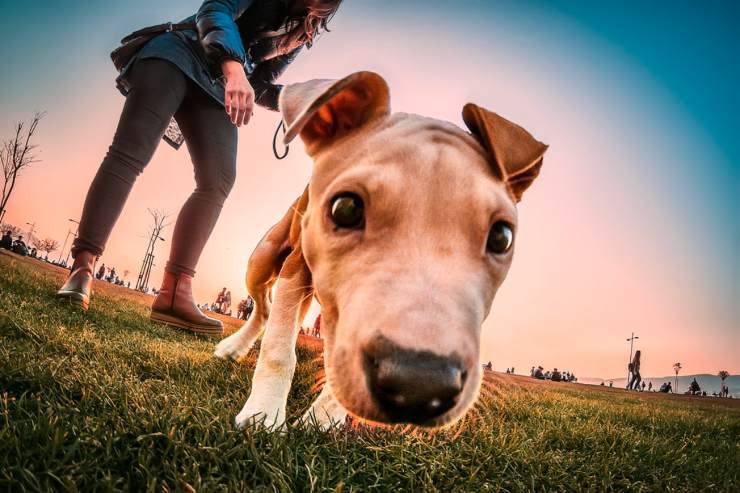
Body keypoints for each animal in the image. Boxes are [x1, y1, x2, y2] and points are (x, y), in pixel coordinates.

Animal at [215, 71, 548, 428]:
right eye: (345, 209)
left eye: (502, 237)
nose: (420, 384)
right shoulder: (297, 268)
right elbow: (278, 349)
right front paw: (262, 416)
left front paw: (322, 419)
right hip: (263, 259)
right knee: (263, 307)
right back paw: (233, 348)